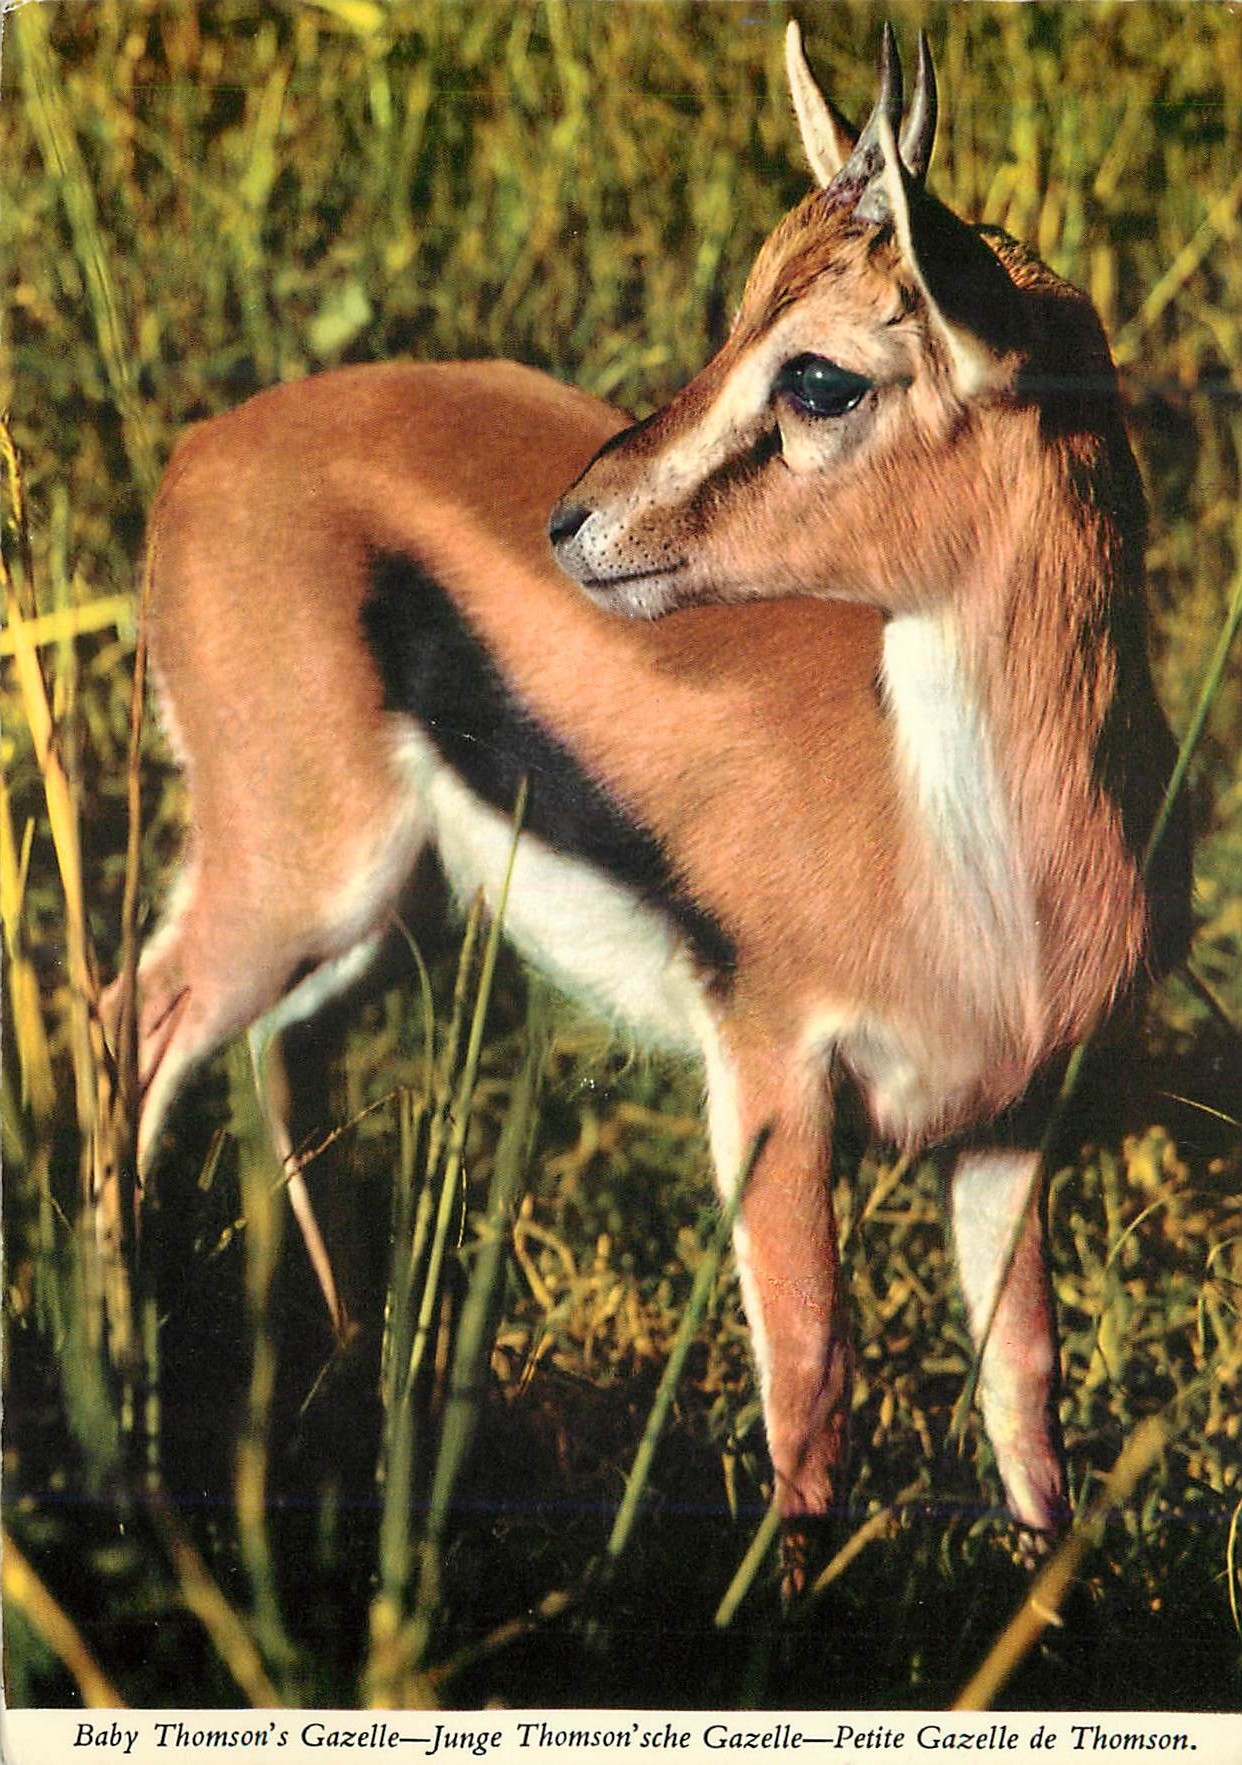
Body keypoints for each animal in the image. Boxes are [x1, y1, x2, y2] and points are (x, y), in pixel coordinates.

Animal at [103, 22, 1189, 1568]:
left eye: (819, 376)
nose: (571, 521)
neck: (981, 864)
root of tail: (201, 451)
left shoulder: (1008, 1121)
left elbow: (1022, 1398)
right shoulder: (774, 1071)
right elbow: (810, 1392)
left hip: (390, 920)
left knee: (276, 1062)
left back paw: (352, 1373)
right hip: (299, 881)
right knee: (128, 1026)